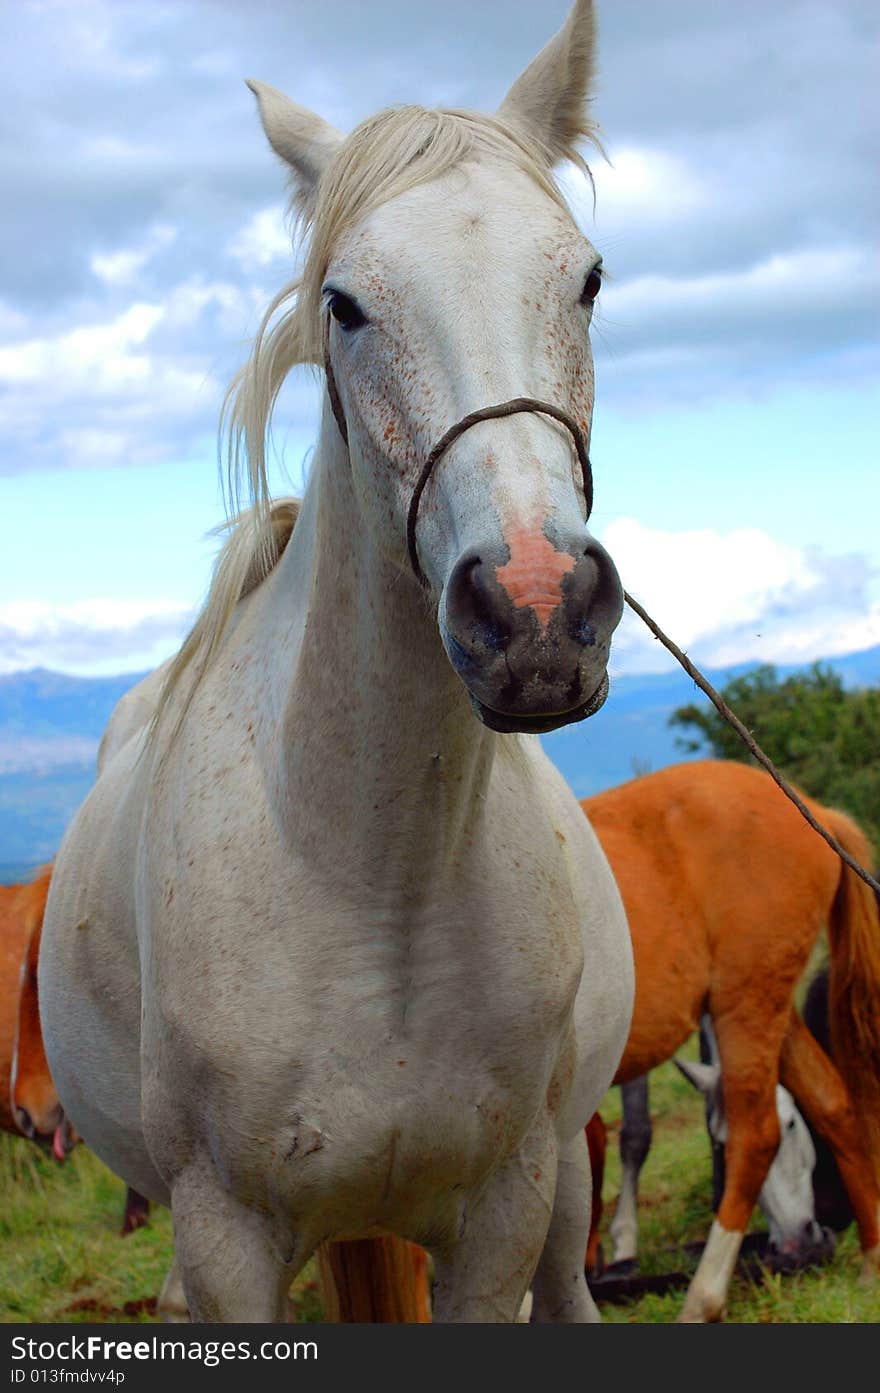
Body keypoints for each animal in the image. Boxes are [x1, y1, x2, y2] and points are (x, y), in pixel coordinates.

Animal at [41, 0, 634, 1320]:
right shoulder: (228, 1238)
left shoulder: (502, 1213)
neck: (370, 878)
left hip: (564, 1180)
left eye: (586, 278)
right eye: (346, 304)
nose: (532, 610)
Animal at [576, 757, 880, 1320]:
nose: (803, 1240)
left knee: (755, 1134)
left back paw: (703, 1297)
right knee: (834, 1104)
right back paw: (872, 1258)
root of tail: (815, 811)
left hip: (748, 1004)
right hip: (769, 1008)